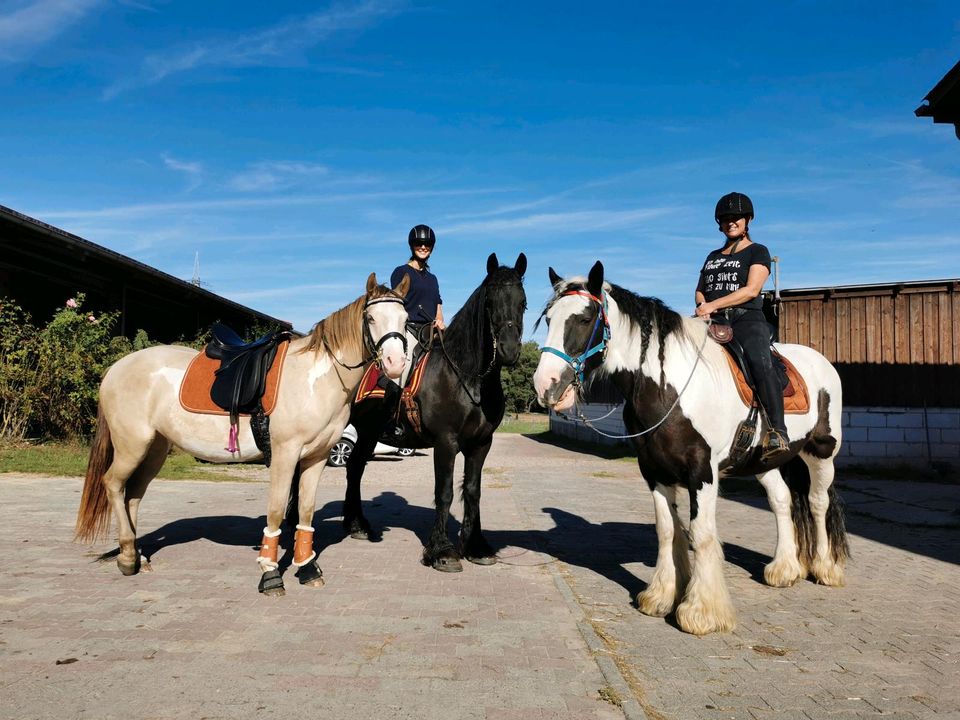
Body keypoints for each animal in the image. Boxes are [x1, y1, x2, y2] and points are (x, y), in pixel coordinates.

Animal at [73, 272, 406, 592]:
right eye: (371, 318)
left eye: (405, 319)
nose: (395, 363)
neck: (316, 379)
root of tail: (116, 368)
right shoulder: (285, 454)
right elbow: (276, 511)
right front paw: (270, 574)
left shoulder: (317, 457)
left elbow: (306, 512)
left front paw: (307, 568)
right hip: (132, 445)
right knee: (114, 484)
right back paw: (128, 557)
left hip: (155, 449)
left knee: (133, 494)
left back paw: (137, 554)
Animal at [344, 256, 524, 572]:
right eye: (490, 303)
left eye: (523, 302)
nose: (509, 350)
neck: (466, 377)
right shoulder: (445, 443)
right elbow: (445, 492)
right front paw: (443, 551)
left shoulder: (481, 444)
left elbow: (473, 491)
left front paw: (476, 546)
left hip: (367, 434)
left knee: (354, 469)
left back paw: (358, 526)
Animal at [532, 262, 848, 636]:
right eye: (548, 319)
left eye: (583, 319)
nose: (546, 385)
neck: (670, 388)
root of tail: (821, 363)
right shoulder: (653, 470)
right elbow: (668, 530)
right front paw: (661, 597)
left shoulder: (702, 472)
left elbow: (702, 534)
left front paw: (701, 612)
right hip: (764, 462)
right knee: (782, 500)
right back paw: (784, 569)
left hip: (821, 451)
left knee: (817, 502)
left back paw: (825, 568)